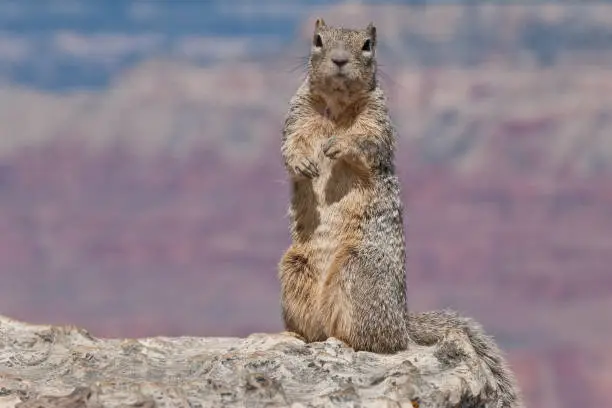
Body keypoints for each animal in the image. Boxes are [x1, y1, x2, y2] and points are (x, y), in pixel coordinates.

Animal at [280, 19, 524, 408]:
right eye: (317, 40)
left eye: (367, 45)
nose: (339, 60)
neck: (336, 103)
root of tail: (403, 324)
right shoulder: (296, 114)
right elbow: (290, 144)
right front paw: (303, 161)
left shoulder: (378, 121)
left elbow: (365, 141)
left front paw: (339, 144)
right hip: (293, 269)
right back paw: (299, 338)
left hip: (359, 269)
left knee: (379, 342)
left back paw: (348, 342)